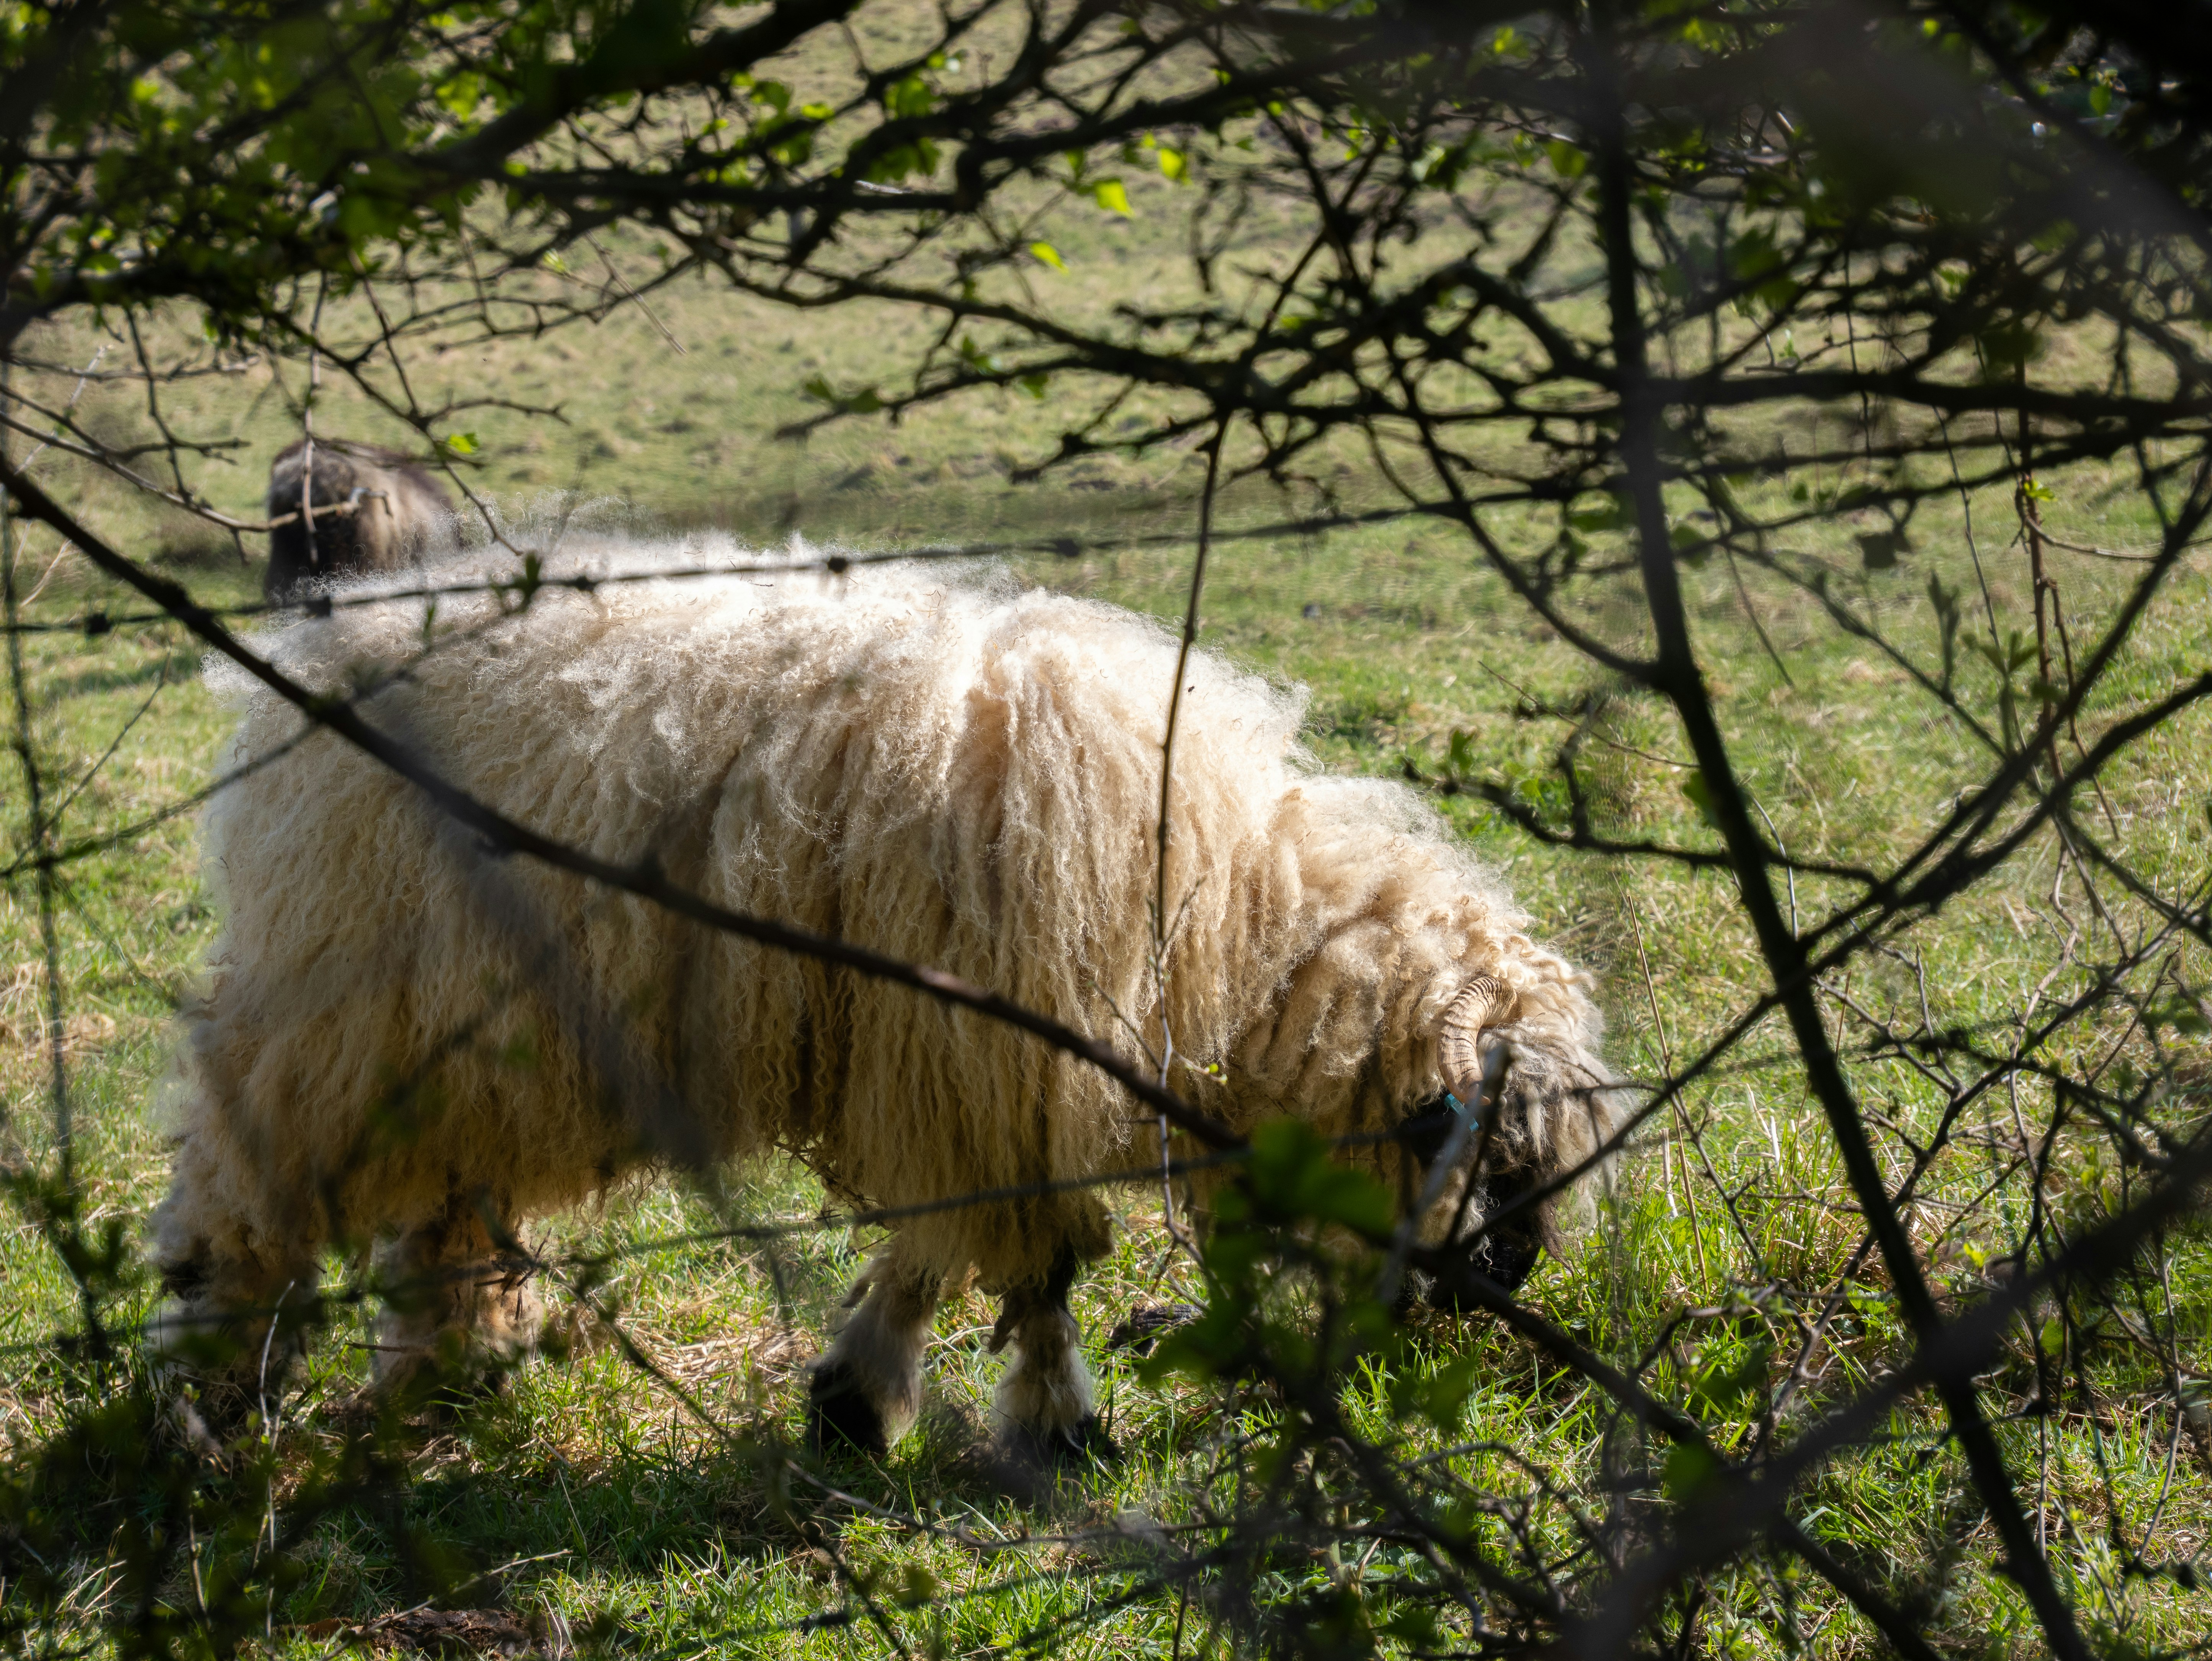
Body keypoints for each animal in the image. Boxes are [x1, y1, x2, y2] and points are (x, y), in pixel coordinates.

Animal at [150, 545, 1622, 1459]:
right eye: (1497, 1162)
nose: (1500, 1289)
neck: (1231, 926)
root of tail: (332, 636)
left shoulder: (957, 1085)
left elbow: (939, 1253)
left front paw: (855, 1399)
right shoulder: (986, 1066)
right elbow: (1036, 1269)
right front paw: (1059, 1426)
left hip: (472, 1038)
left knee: (446, 1197)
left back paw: (452, 1361)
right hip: (346, 1011)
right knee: (242, 1178)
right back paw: (203, 1392)